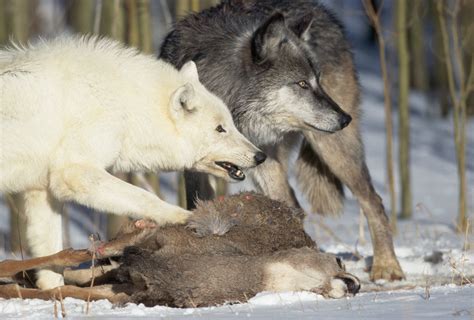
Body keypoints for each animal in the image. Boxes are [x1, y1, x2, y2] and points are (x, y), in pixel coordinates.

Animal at [0, 36, 266, 288]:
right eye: (220, 129)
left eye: (230, 124)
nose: (260, 155)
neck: (125, 108)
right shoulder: (75, 173)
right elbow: (145, 197)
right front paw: (184, 217)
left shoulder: (41, 190)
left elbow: (50, 260)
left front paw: (57, 293)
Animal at [160, 0, 404, 280]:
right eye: (302, 84)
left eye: (317, 81)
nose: (345, 119)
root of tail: (319, 9)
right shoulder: (197, 166)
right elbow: (198, 204)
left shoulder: (261, 155)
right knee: (295, 205)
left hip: (332, 149)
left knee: (372, 201)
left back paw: (387, 267)